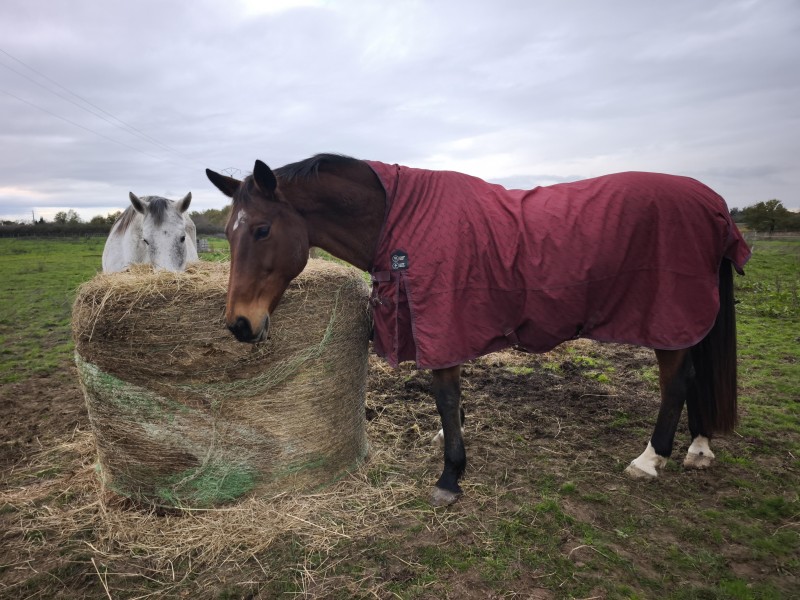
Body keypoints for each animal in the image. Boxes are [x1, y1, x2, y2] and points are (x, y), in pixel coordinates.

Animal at [206, 154, 751, 507]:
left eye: (262, 230)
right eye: (228, 232)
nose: (240, 324)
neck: (398, 218)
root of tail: (715, 205)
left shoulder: (442, 325)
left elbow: (445, 397)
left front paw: (450, 475)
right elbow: (452, 402)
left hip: (668, 318)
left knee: (677, 382)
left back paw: (650, 459)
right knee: (696, 379)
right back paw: (699, 448)